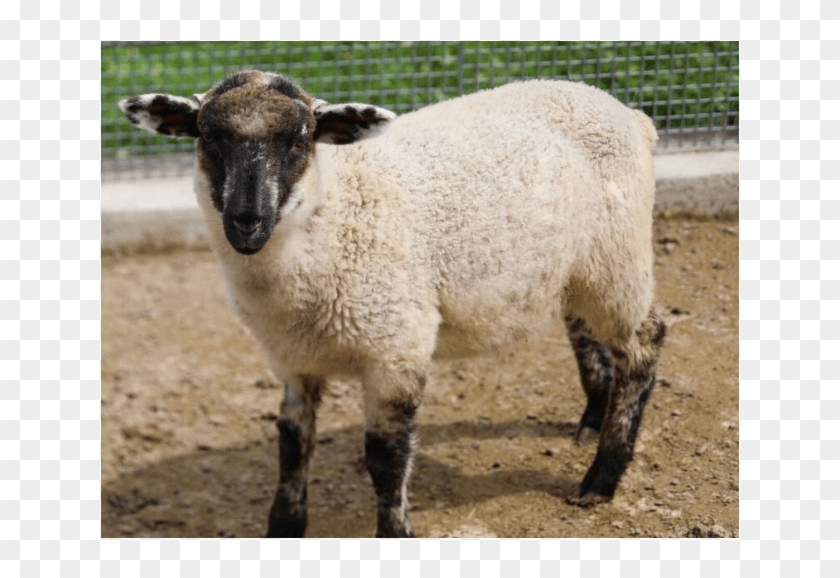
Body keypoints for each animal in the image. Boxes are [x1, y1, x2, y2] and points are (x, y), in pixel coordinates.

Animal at [118, 70, 666, 538]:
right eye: (207, 137)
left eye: (300, 139)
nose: (247, 220)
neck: (334, 214)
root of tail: (630, 113)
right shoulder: (292, 359)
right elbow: (292, 446)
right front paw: (284, 527)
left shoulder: (396, 346)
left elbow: (386, 458)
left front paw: (395, 531)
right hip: (576, 269)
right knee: (584, 330)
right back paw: (592, 419)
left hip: (618, 259)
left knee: (644, 345)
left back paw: (601, 476)